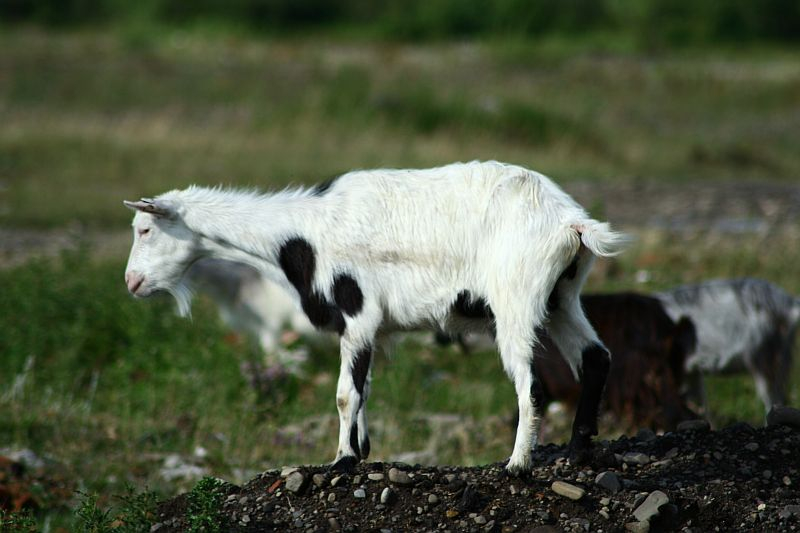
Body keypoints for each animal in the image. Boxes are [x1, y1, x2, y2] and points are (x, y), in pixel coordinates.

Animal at [123, 160, 627, 474]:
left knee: (533, 384)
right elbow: (363, 387)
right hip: (561, 298)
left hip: (516, 300)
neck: (303, 234)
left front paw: (342, 460)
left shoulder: (357, 311)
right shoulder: (368, 327)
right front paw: (361, 451)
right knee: (596, 358)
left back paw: (518, 465)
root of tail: (572, 223)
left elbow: (345, 393)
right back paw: (579, 451)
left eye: (145, 229)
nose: (131, 282)